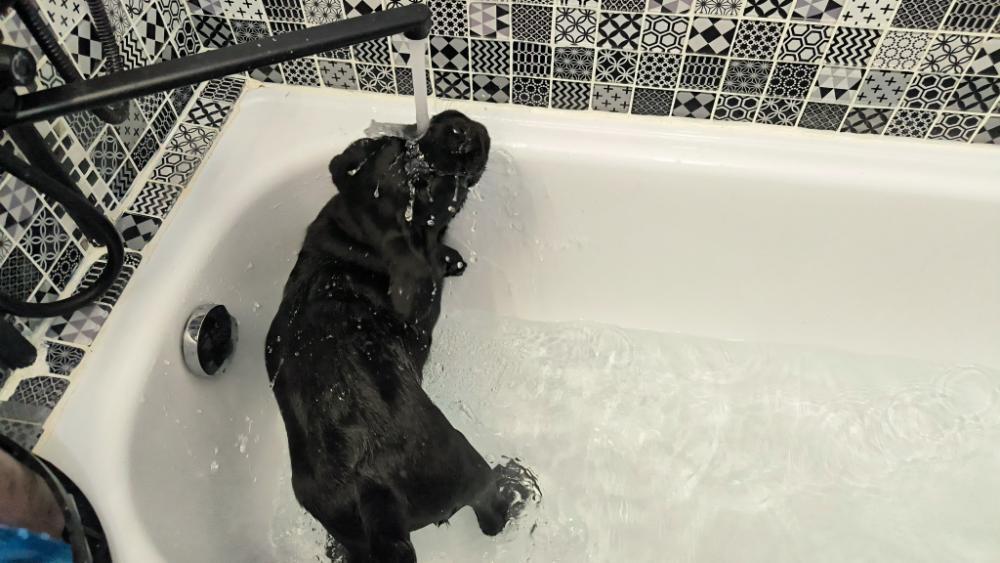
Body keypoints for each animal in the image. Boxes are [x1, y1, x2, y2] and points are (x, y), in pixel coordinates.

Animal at [265, 111, 535, 563]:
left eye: (396, 140)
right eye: (427, 185)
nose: (458, 129)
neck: (358, 241)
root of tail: (373, 489)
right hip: (464, 463)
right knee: (489, 513)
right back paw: (513, 487)